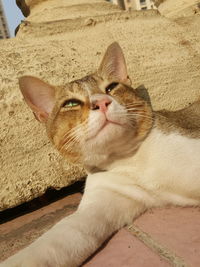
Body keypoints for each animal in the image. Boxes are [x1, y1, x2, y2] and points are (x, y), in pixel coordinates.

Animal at [1, 42, 200, 267]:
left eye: (111, 87)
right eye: (71, 103)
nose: (102, 102)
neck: (127, 160)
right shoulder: (105, 198)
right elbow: (62, 236)